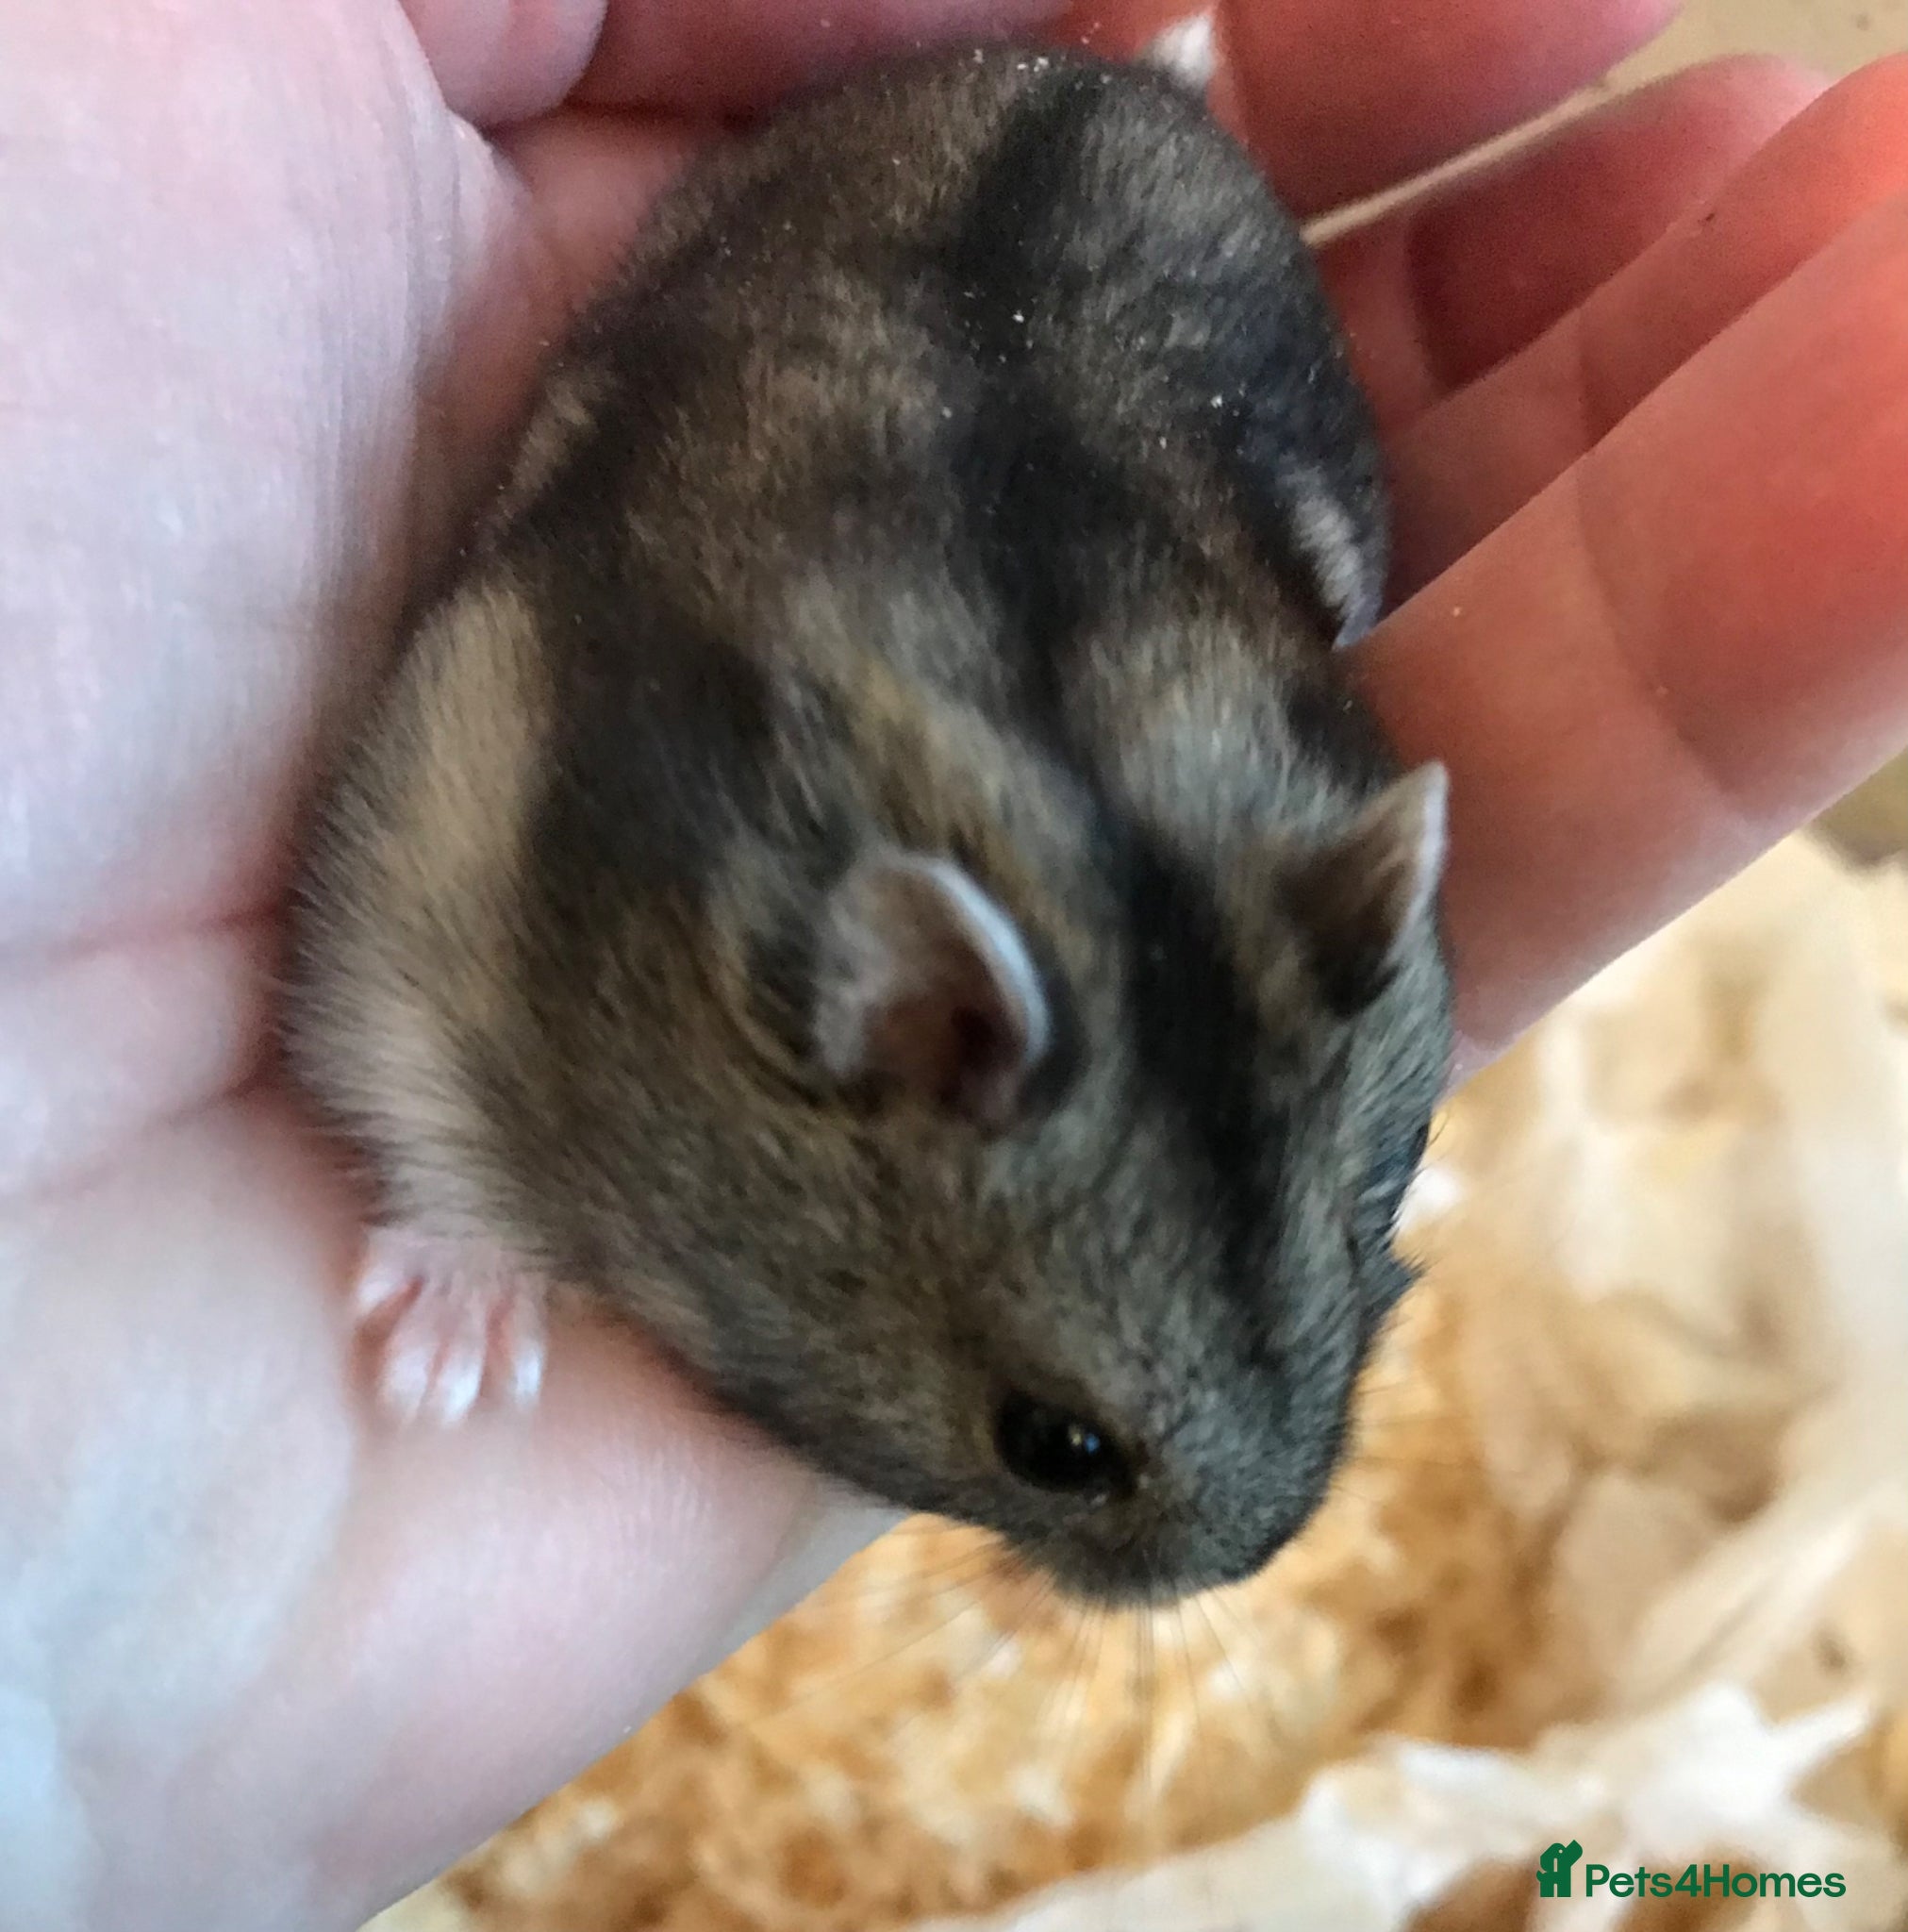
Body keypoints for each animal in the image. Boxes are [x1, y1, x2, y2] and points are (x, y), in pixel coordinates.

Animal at [283, 39, 1453, 1607]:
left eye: (1371, 1217)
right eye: (1054, 1446)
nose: (1248, 1562)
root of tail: (1104, 74)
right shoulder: (435, 835)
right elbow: (422, 1111)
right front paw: (440, 1376)